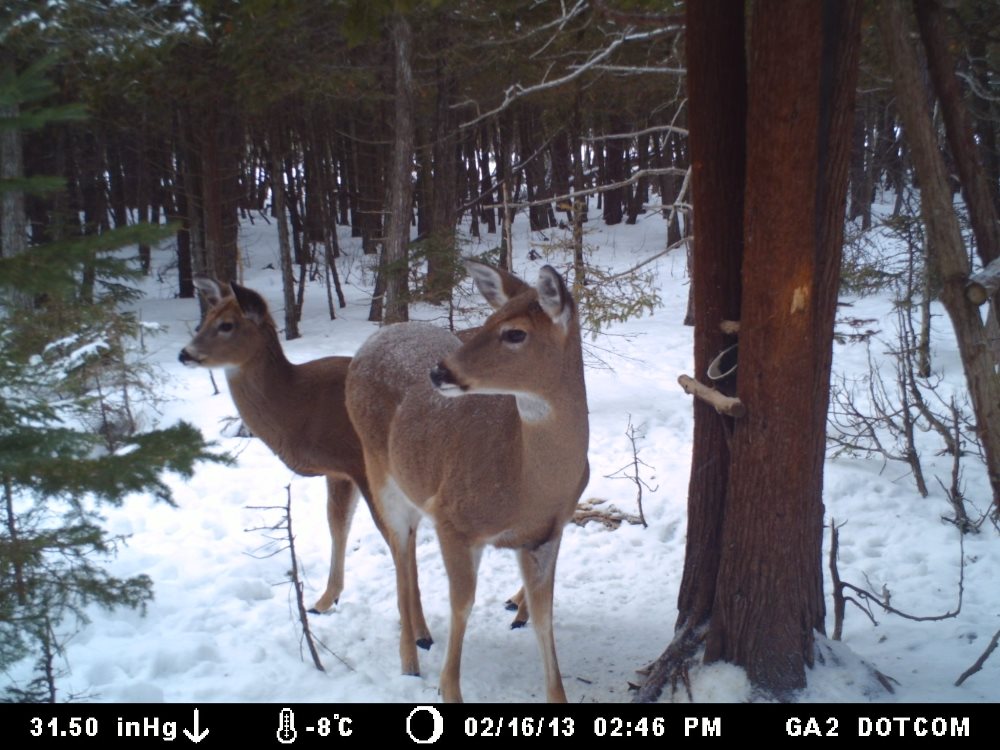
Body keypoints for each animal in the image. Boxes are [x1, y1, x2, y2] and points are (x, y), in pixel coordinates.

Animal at [177, 278, 432, 646]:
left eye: (227, 325)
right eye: (203, 320)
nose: (184, 353)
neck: (298, 407)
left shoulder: (361, 464)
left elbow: (396, 537)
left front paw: (420, 631)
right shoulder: (339, 472)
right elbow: (337, 526)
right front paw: (324, 600)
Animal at [345, 261, 589, 702]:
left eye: (514, 332)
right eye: (488, 320)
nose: (438, 371)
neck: (528, 484)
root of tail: (375, 337)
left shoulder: (545, 535)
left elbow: (544, 617)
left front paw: (557, 695)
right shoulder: (454, 519)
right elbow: (463, 605)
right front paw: (448, 689)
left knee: (405, 546)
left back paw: (422, 634)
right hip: (378, 467)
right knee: (398, 548)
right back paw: (409, 658)